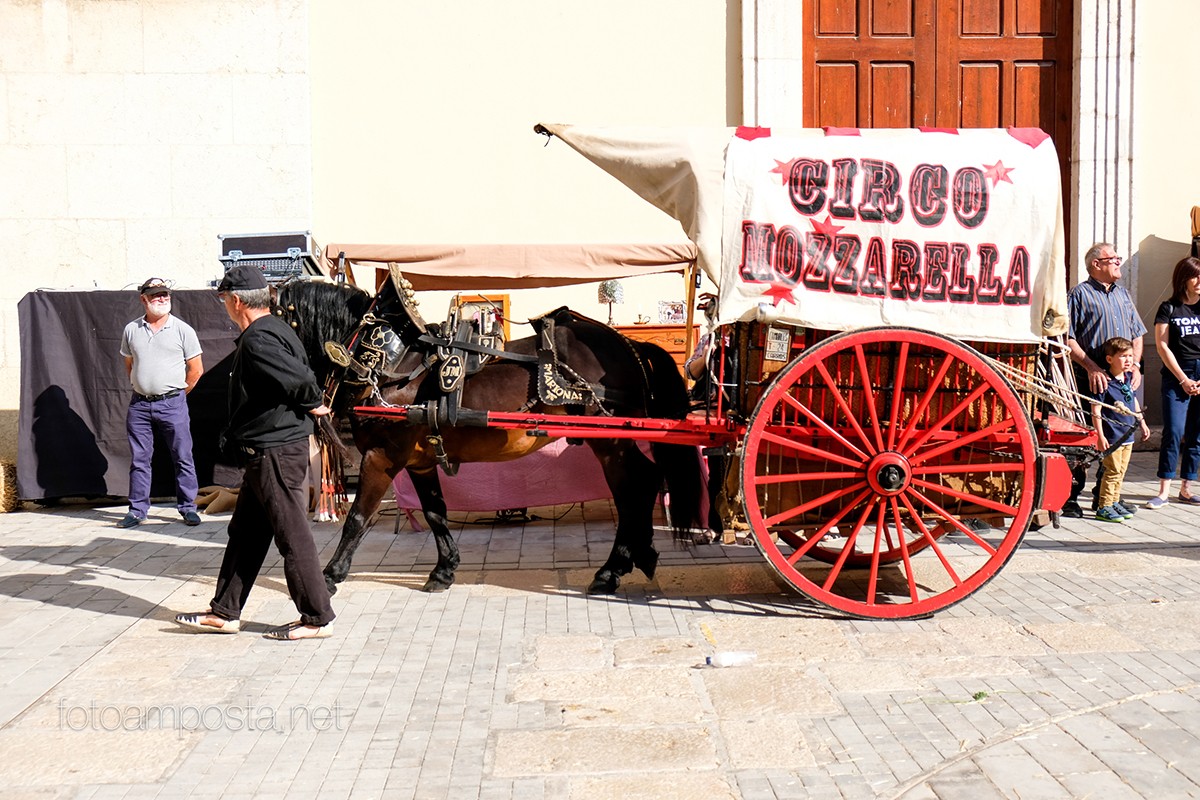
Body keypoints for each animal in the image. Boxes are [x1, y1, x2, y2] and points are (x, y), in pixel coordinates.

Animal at [276, 275, 705, 594]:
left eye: (278, 316)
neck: (386, 362)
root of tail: (628, 343)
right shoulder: (420, 460)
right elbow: (436, 513)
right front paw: (443, 570)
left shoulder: (382, 456)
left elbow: (358, 518)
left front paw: (331, 575)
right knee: (643, 484)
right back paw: (638, 557)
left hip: (610, 440)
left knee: (635, 488)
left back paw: (613, 569)